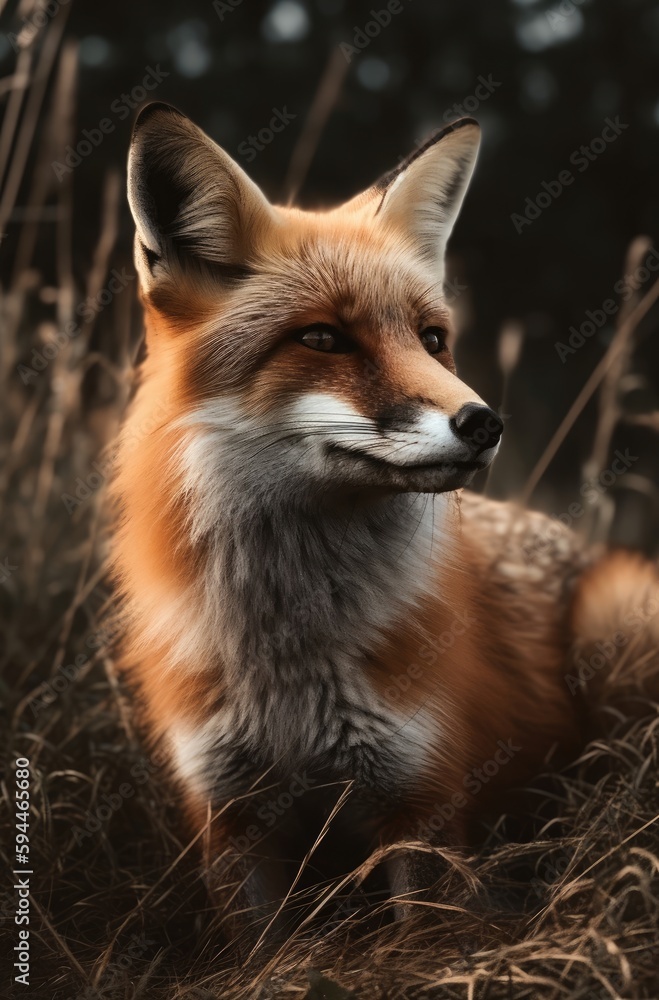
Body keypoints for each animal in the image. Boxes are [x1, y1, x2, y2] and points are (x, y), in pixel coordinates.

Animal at [111, 102, 659, 932]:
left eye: (431, 339)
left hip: (618, 616)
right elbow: (258, 948)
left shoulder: (420, 802)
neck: (290, 663)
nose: (483, 424)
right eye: (322, 338)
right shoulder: (231, 817)